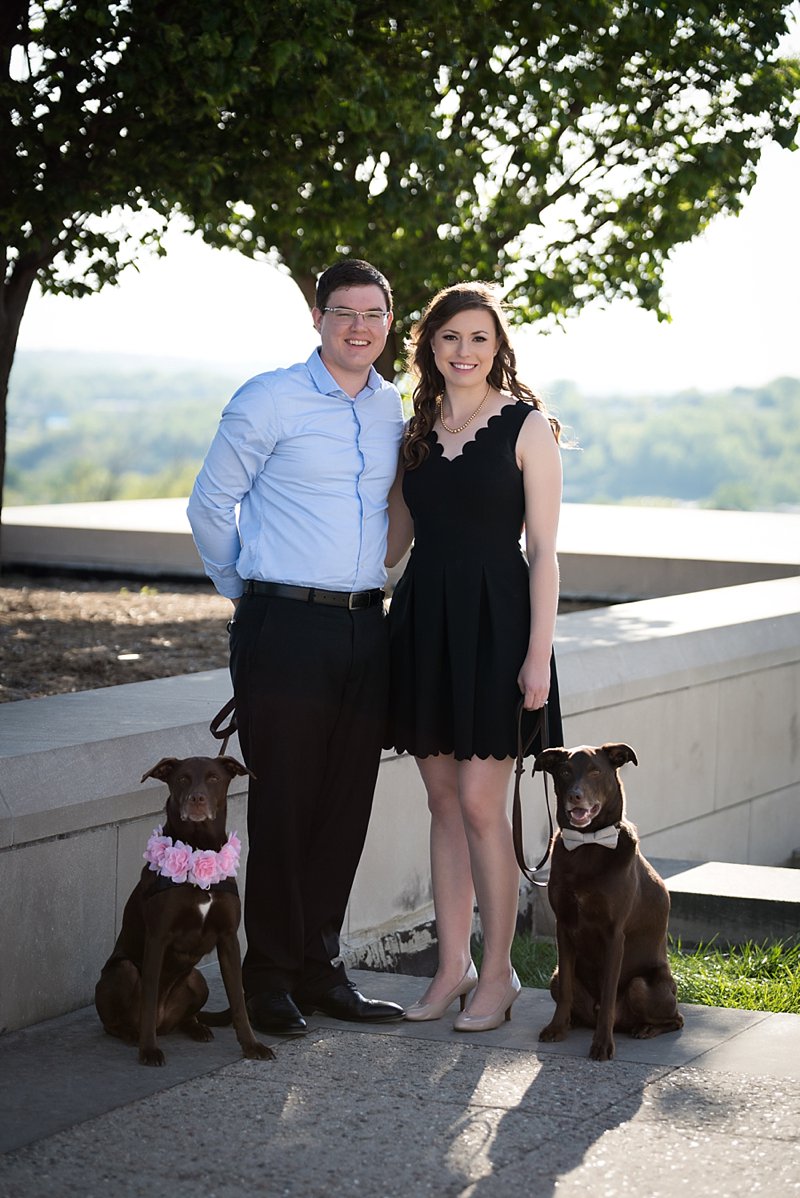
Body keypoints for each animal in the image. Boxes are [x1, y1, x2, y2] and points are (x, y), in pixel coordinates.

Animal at [94, 757, 271, 1068]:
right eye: (182, 779)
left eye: (213, 778)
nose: (196, 799)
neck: (199, 847)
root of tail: (165, 1022)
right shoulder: (158, 938)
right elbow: (149, 996)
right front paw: (148, 1049)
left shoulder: (228, 938)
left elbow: (238, 1000)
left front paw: (252, 1045)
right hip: (123, 971)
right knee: (118, 1020)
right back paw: (131, 1033)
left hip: (197, 980)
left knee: (187, 1016)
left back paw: (197, 1027)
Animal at [534, 742, 685, 1063]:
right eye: (564, 772)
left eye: (595, 771)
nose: (575, 796)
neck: (588, 844)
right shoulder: (563, 927)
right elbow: (566, 991)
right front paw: (557, 1027)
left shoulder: (614, 935)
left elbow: (607, 991)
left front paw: (602, 1045)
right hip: (554, 976)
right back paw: (574, 1021)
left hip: (643, 986)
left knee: (675, 1019)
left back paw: (645, 1028)